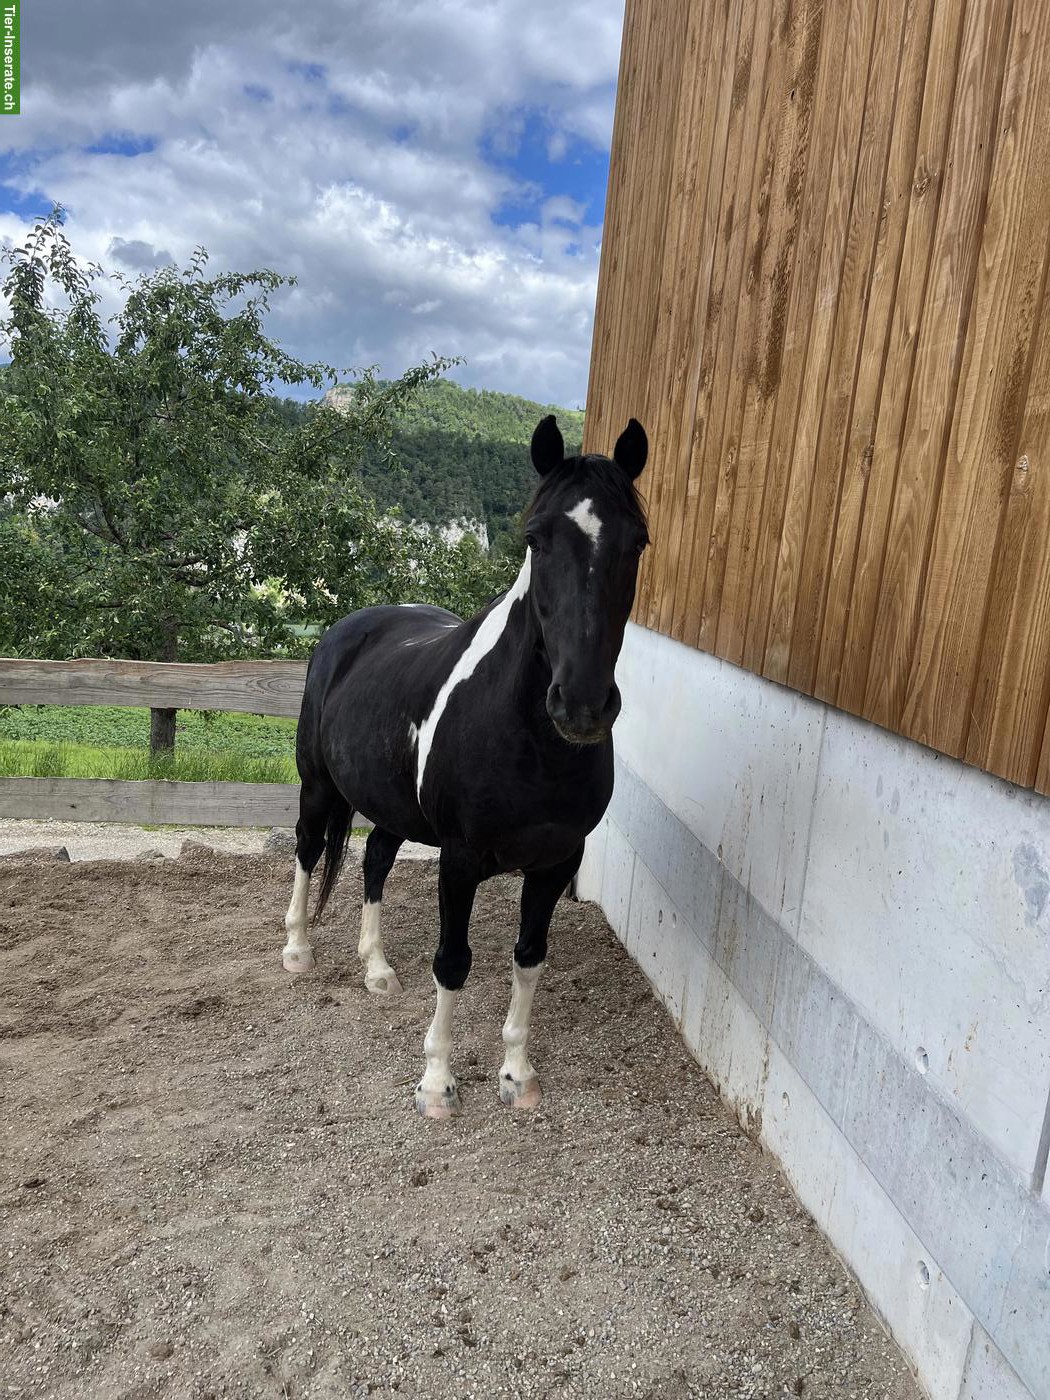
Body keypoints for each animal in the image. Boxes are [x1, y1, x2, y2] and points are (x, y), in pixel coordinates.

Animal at [281, 413, 649, 1118]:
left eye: (638, 542)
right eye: (536, 539)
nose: (582, 705)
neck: (528, 741)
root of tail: (347, 630)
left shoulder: (555, 862)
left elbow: (529, 957)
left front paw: (517, 1074)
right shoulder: (459, 859)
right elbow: (452, 961)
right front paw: (436, 1085)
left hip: (392, 807)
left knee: (374, 861)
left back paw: (376, 969)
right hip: (317, 787)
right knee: (309, 849)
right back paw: (296, 949)